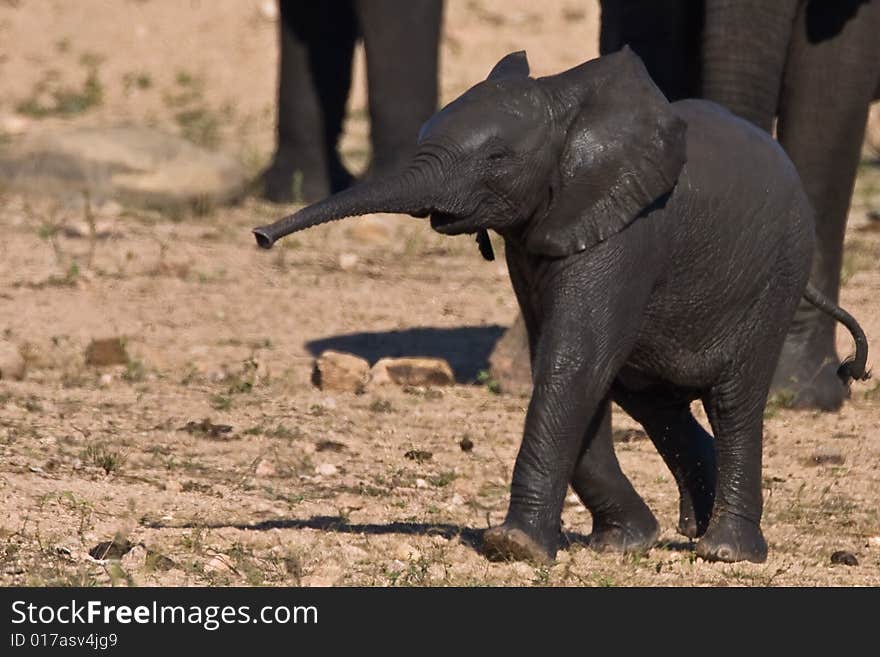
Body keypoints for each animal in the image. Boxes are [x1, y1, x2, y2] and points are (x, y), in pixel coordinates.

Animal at [251, 50, 868, 564]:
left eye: (497, 157)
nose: (260, 236)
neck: (564, 105)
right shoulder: (534, 241)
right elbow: (567, 358)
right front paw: (619, 544)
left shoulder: (630, 227)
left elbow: (574, 359)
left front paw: (513, 547)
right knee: (650, 400)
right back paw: (686, 527)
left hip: (777, 273)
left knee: (733, 400)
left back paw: (725, 552)